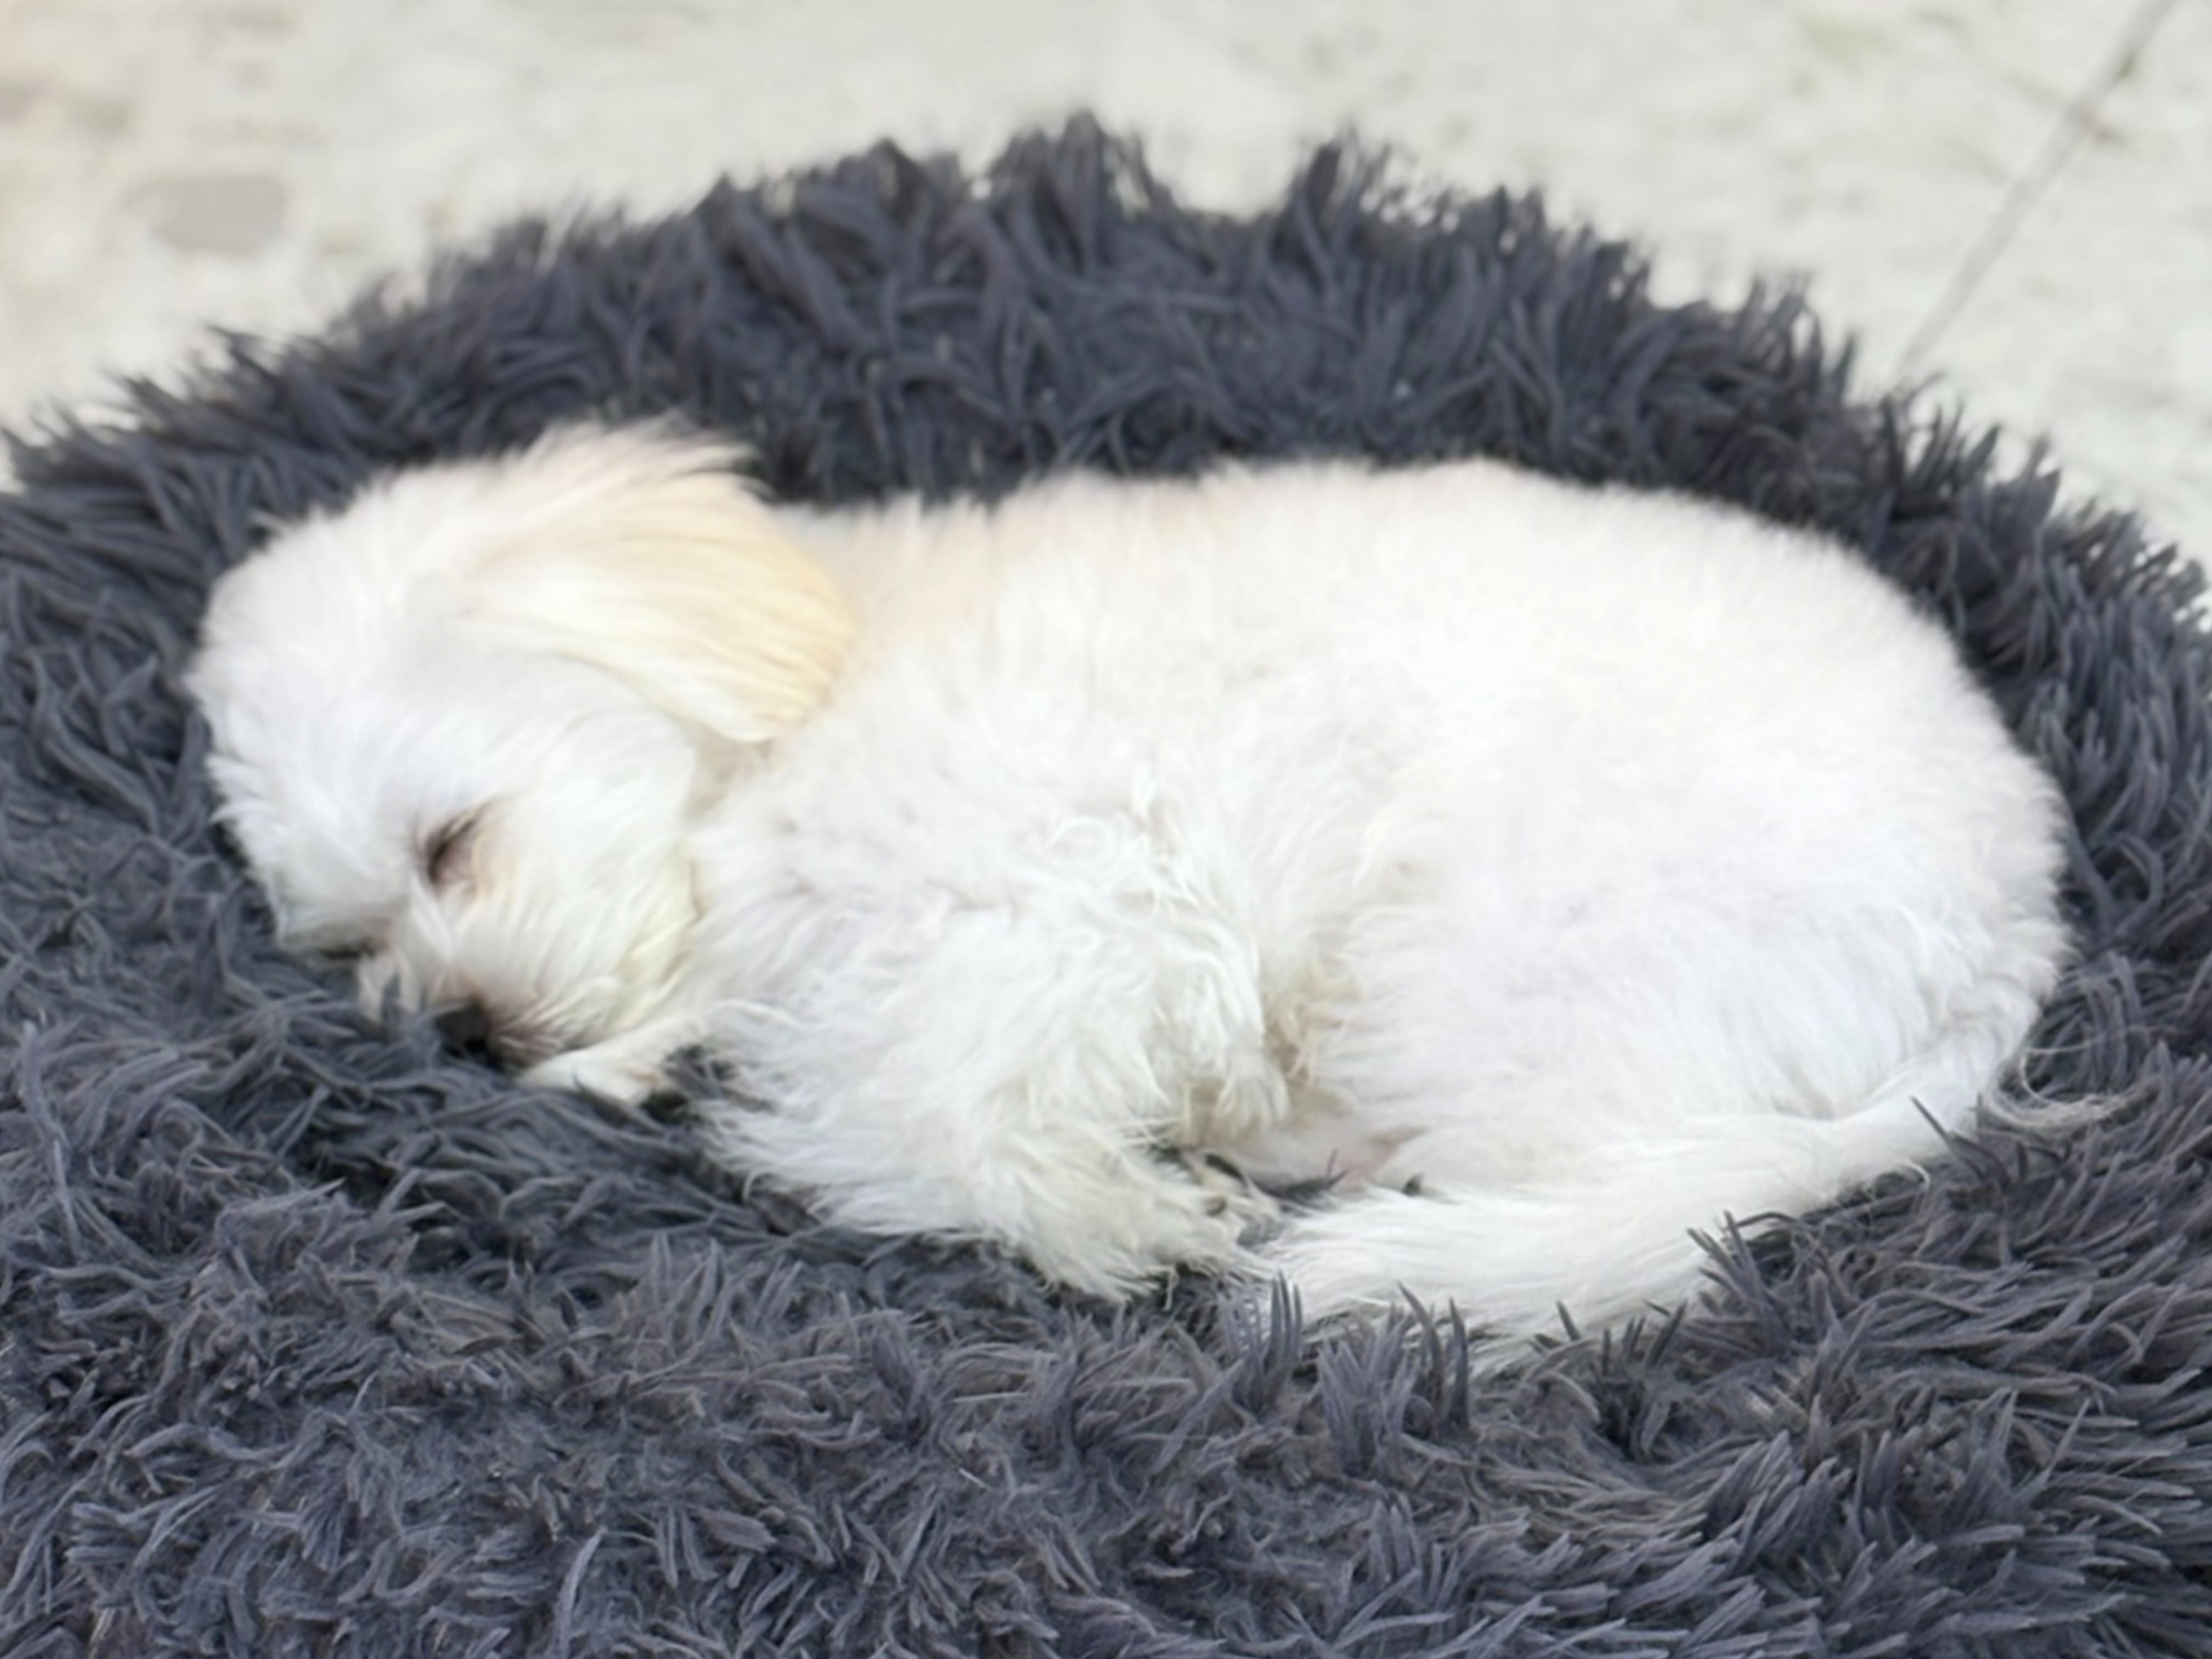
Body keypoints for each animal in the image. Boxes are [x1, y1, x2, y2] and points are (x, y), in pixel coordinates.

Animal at [187, 424, 2070, 1352]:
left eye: (454, 842)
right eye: (354, 944)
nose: (457, 1028)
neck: (789, 728)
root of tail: (2014, 911)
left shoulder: (1066, 909)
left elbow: (925, 1115)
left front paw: (1121, 1218)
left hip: (1483, 956)